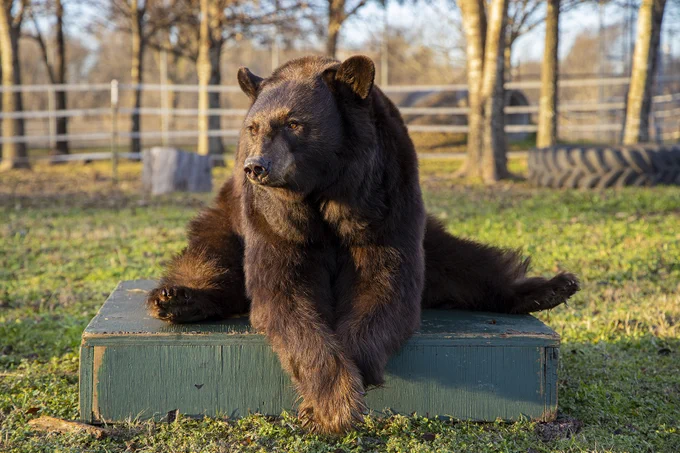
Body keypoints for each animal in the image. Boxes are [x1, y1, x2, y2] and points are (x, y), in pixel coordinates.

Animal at [146, 55, 579, 434]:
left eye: (294, 123)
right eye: (253, 127)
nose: (257, 167)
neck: (325, 191)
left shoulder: (384, 203)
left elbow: (385, 284)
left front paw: (338, 394)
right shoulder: (274, 220)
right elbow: (283, 290)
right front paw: (331, 402)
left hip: (430, 238)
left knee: (467, 263)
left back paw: (552, 288)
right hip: (225, 221)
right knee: (210, 259)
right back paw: (176, 299)